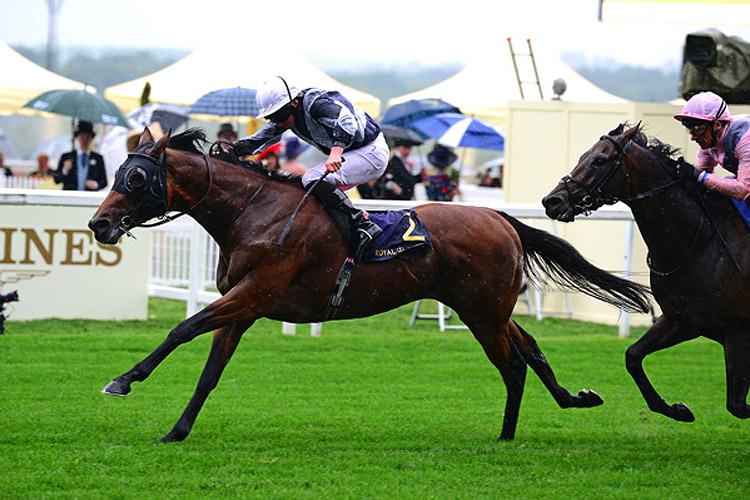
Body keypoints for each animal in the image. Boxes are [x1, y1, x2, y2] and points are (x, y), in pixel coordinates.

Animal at [88, 128, 652, 442]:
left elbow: (181, 329)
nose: (98, 224)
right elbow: (209, 373)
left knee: (512, 364)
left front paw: (123, 380)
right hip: (488, 308)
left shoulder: (253, 293)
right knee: (530, 347)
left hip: (482, 311)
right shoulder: (244, 305)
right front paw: (177, 431)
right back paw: (572, 400)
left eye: (135, 178)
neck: (253, 214)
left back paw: (507, 435)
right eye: (117, 173)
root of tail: (500, 217)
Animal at [544, 123, 750, 424]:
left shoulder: (738, 333)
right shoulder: (683, 321)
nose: (552, 201)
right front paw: (676, 409)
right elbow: (633, 355)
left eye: (599, 160)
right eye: (583, 156)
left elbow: (737, 404)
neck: (701, 243)